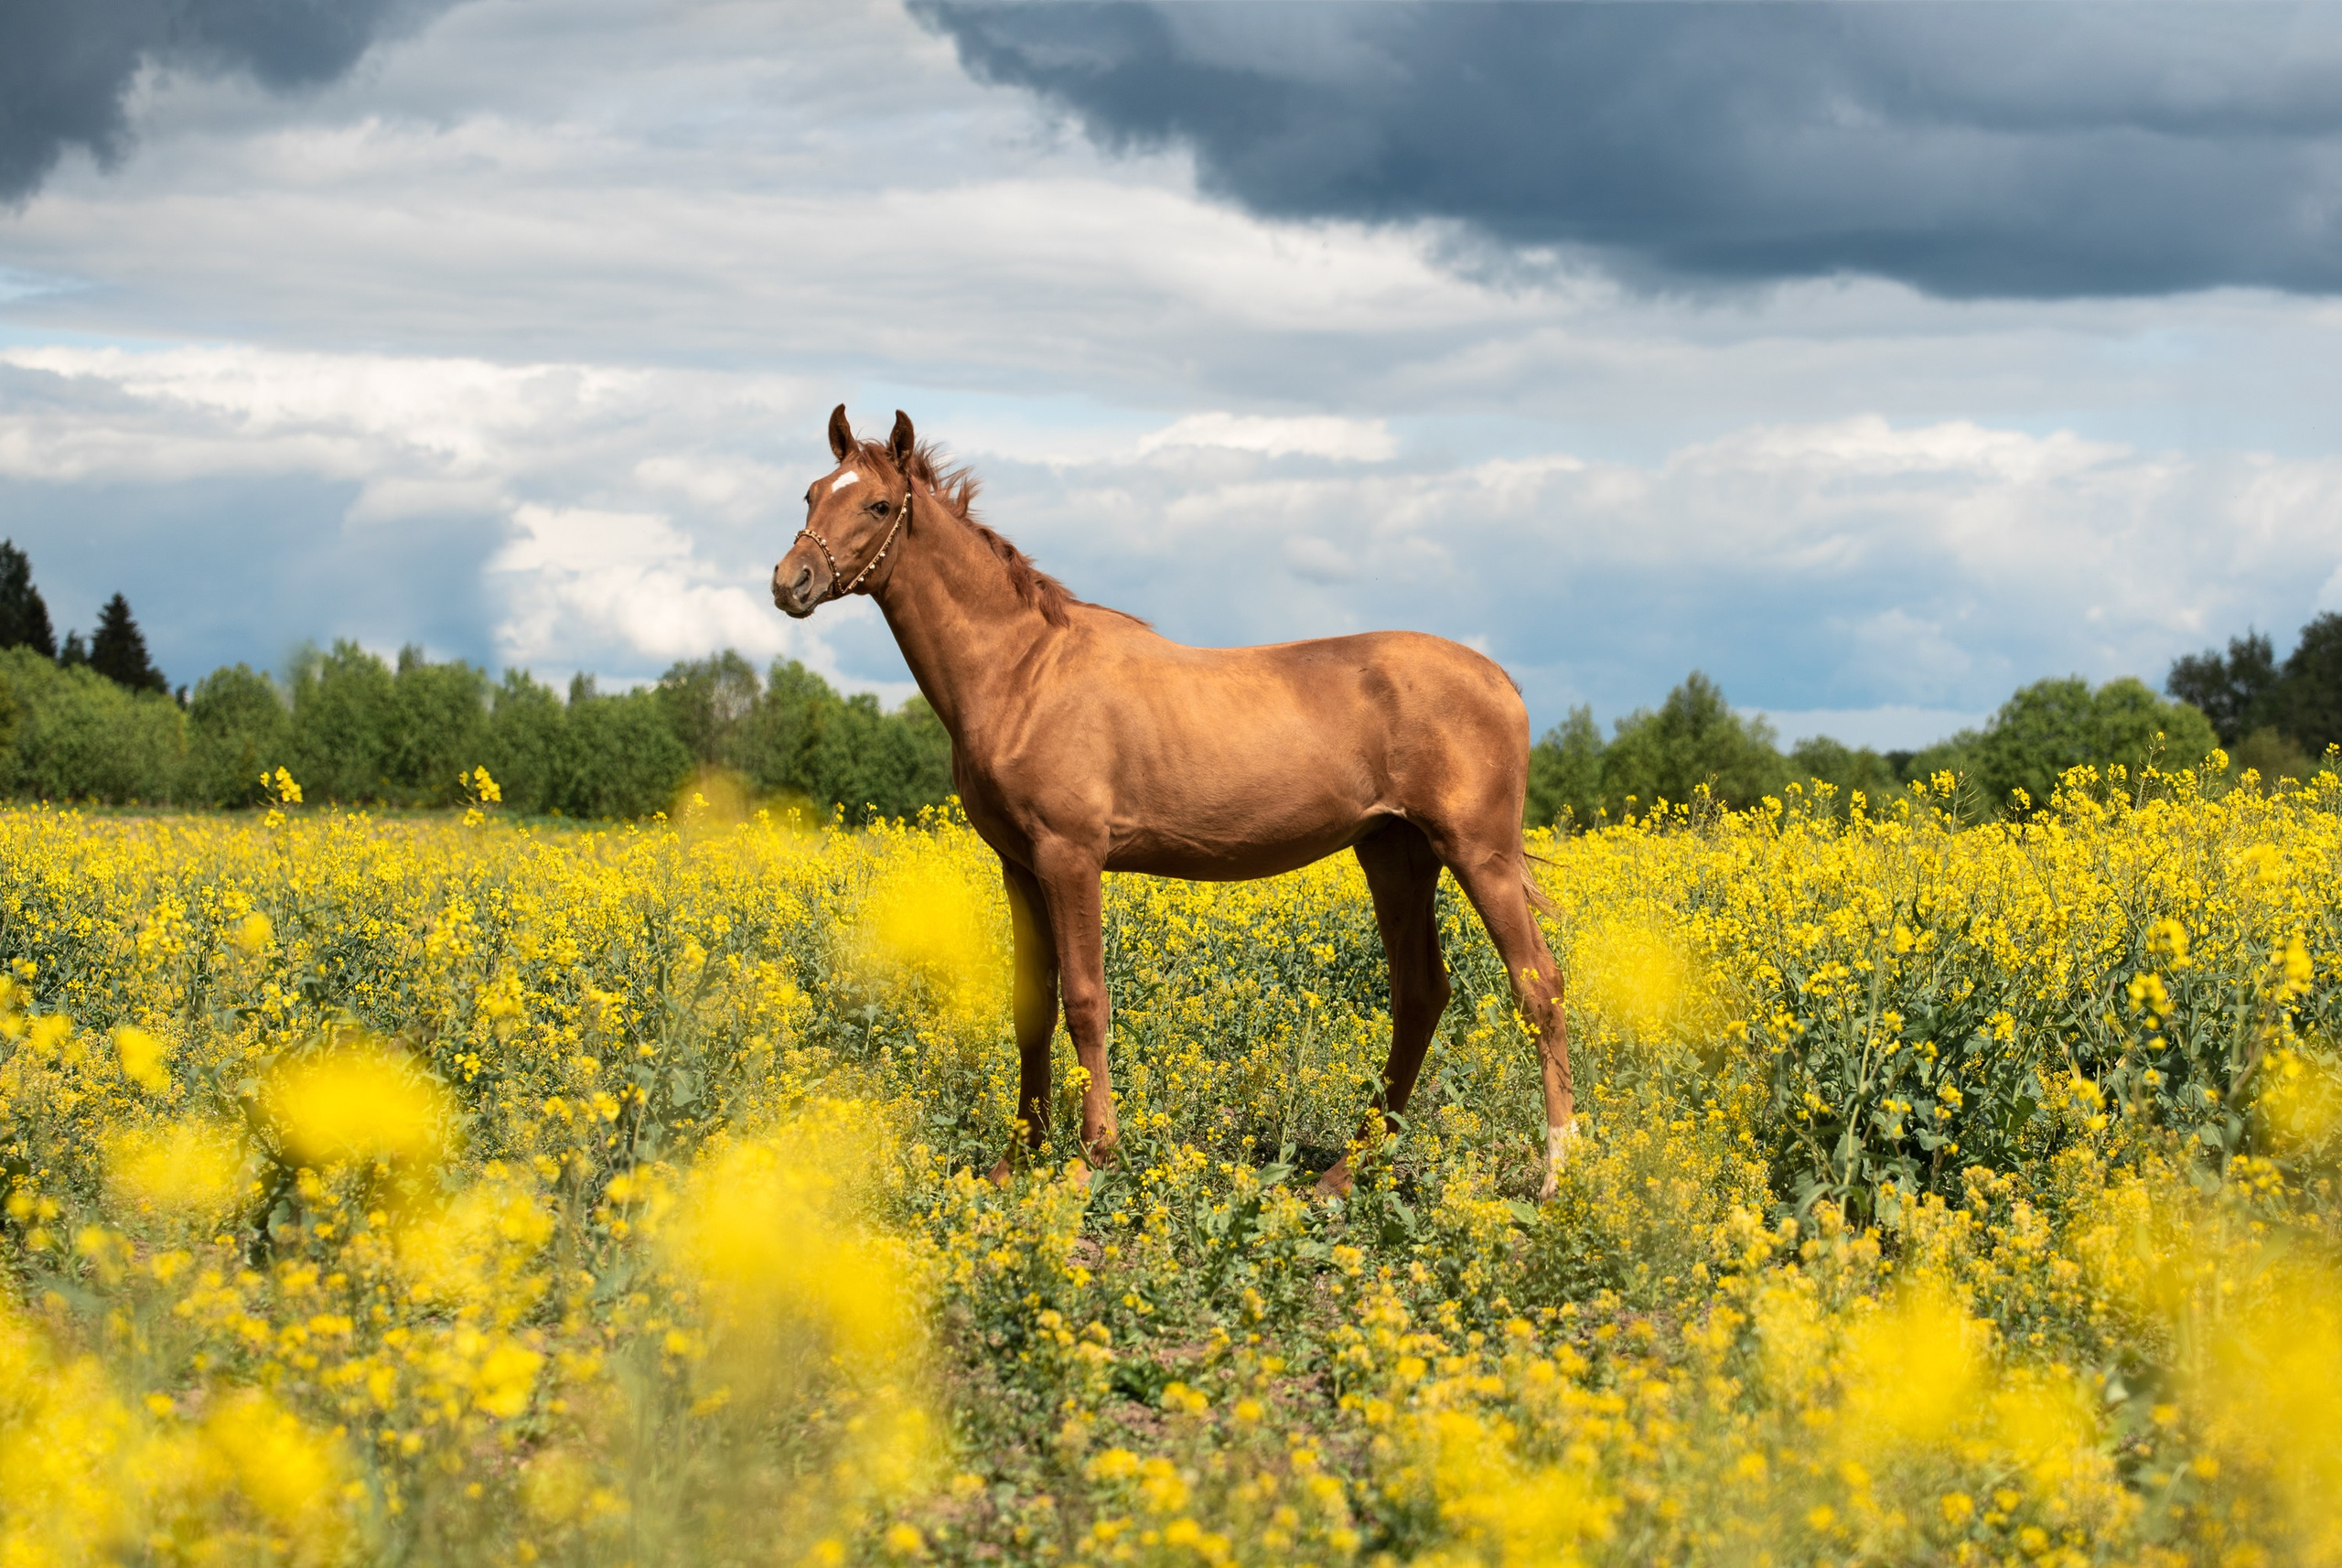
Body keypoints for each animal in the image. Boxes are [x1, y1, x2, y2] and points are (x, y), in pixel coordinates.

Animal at [772, 406, 1578, 1199]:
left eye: (878, 505)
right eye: (811, 493)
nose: (791, 582)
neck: (1022, 673)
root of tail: (1503, 681)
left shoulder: (1070, 857)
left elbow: (1086, 1000)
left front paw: (1091, 1158)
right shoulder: (1019, 866)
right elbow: (1032, 1007)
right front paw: (1014, 1161)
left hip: (1477, 854)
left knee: (1538, 986)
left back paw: (1555, 1175)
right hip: (1394, 854)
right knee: (1420, 995)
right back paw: (1343, 1174)